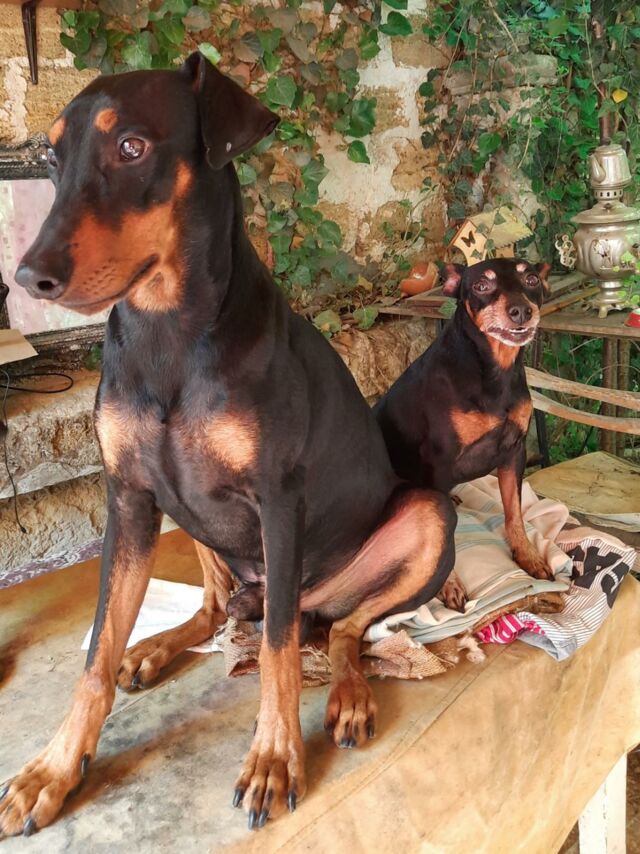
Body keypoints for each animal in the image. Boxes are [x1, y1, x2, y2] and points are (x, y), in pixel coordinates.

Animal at [0, 53, 456, 837]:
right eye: (52, 157)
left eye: (132, 147)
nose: (29, 277)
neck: (166, 330)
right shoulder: (129, 497)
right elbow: (95, 651)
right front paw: (55, 768)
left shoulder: (277, 500)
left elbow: (275, 654)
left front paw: (274, 758)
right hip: (189, 518)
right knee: (221, 610)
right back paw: (155, 646)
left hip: (418, 523)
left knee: (336, 631)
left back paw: (349, 693)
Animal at [374, 258, 553, 608]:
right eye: (481, 286)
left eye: (531, 279)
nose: (521, 311)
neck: (495, 370)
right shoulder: (439, 462)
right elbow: (444, 541)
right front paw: (449, 585)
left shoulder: (514, 450)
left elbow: (514, 513)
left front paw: (528, 556)